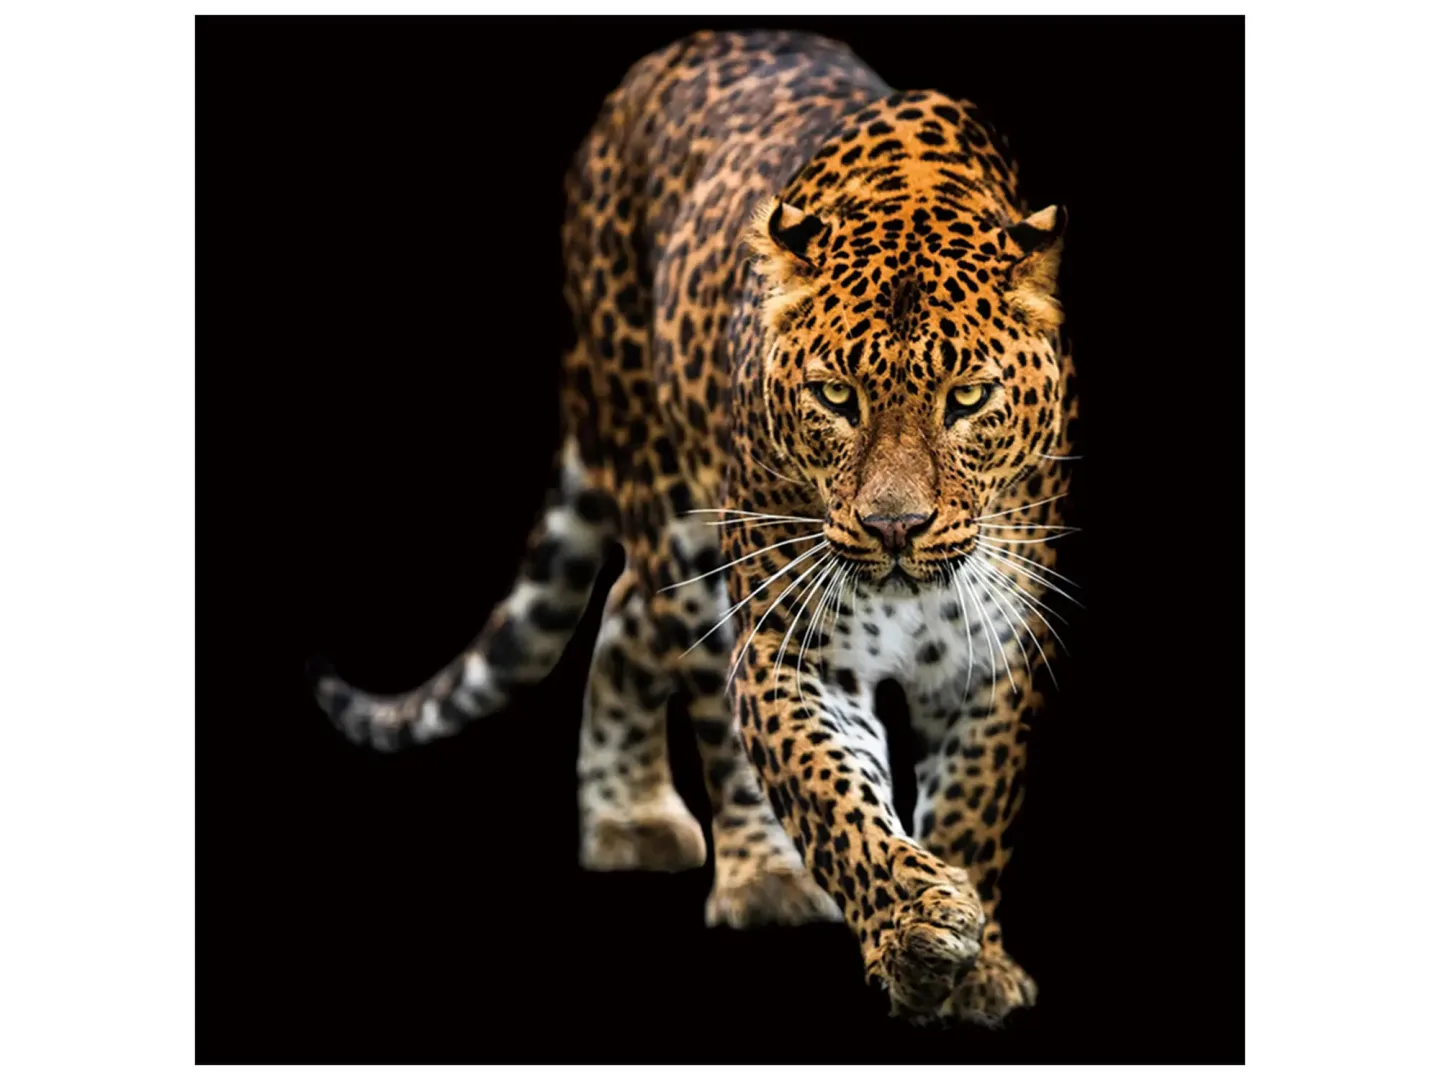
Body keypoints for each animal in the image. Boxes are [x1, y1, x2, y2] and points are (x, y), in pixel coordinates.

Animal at [309, 28, 1079, 1028]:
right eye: (837, 397)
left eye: (970, 399)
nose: (896, 528)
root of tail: (679, 47)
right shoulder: (792, 649)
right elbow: (833, 795)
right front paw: (915, 927)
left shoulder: (995, 654)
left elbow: (975, 805)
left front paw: (976, 964)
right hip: (678, 511)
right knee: (699, 685)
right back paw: (756, 873)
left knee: (626, 611)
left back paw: (626, 817)